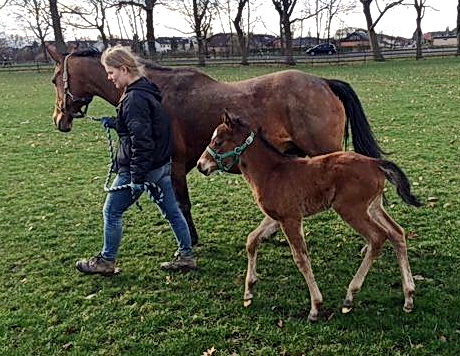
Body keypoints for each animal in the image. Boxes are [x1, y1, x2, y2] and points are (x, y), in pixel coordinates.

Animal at [196, 112, 422, 322]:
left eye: (217, 141)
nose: (200, 165)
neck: (271, 172)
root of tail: (375, 163)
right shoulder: (275, 217)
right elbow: (252, 240)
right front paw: (249, 291)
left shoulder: (291, 218)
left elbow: (301, 258)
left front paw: (315, 307)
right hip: (373, 207)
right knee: (396, 233)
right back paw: (409, 297)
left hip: (351, 209)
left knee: (377, 237)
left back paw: (350, 295)